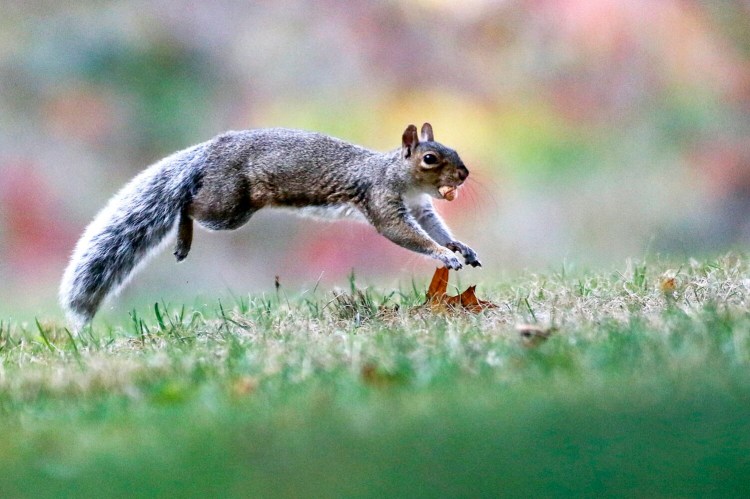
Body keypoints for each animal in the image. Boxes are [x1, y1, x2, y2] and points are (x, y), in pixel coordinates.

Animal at [59, 123, 481, 327]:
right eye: (429, 158)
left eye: (453, 150)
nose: (464, 174)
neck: (398, 175)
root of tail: (210, 150)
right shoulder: (382, 200)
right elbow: (402, 232)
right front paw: (443, 255)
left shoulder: (422, 208)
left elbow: (435, 227)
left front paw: (459, 247)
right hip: (227, 205)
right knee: (188, 203)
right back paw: (182, 238)